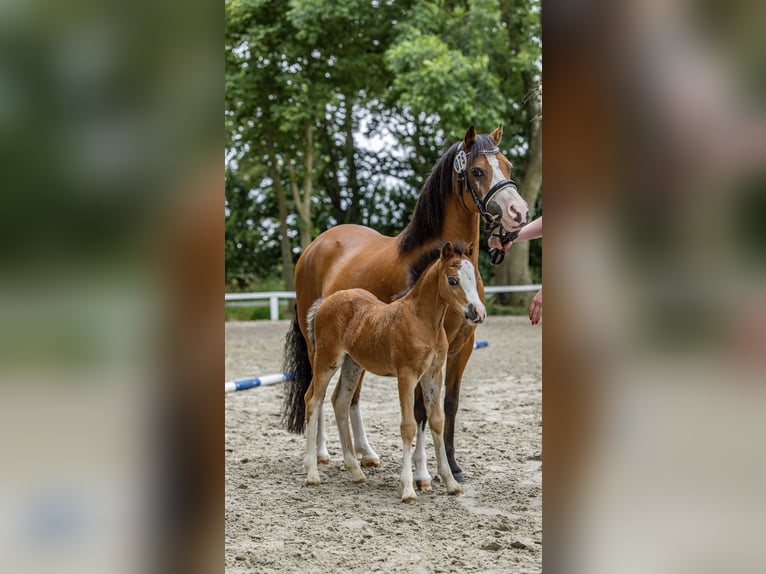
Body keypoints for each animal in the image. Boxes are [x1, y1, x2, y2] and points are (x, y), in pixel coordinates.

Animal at [304, 242, 486, 502]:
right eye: (452, 280)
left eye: (475, 277)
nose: (477, 312)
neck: (423, 321)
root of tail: (325, 302)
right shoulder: (407, 376)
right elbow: (408, 426)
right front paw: (408, 488)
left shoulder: (433, 375)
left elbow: (437, 421)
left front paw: (451, 483)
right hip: (327, 360)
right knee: (313, 400)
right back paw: (312, 473)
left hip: (352, 364)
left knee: (340, 401)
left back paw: (356, 471)